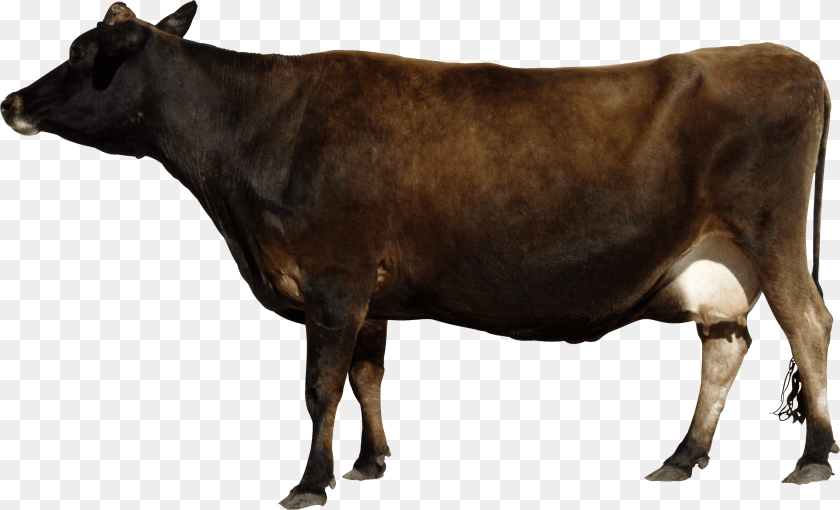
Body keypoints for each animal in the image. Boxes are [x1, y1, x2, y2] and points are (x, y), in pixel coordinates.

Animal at [2, 1, 837, 508]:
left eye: (82, 52)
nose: (13, 102)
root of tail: (790, 58)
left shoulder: (333, 278)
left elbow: (321, 387)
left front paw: (312, 482)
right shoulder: (368, 292)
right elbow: (367, 375)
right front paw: (370, 462)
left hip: (772, 235)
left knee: (809, 324)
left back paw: (813, 456)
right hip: (718, 264)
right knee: (726, 342)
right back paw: (682, 455)